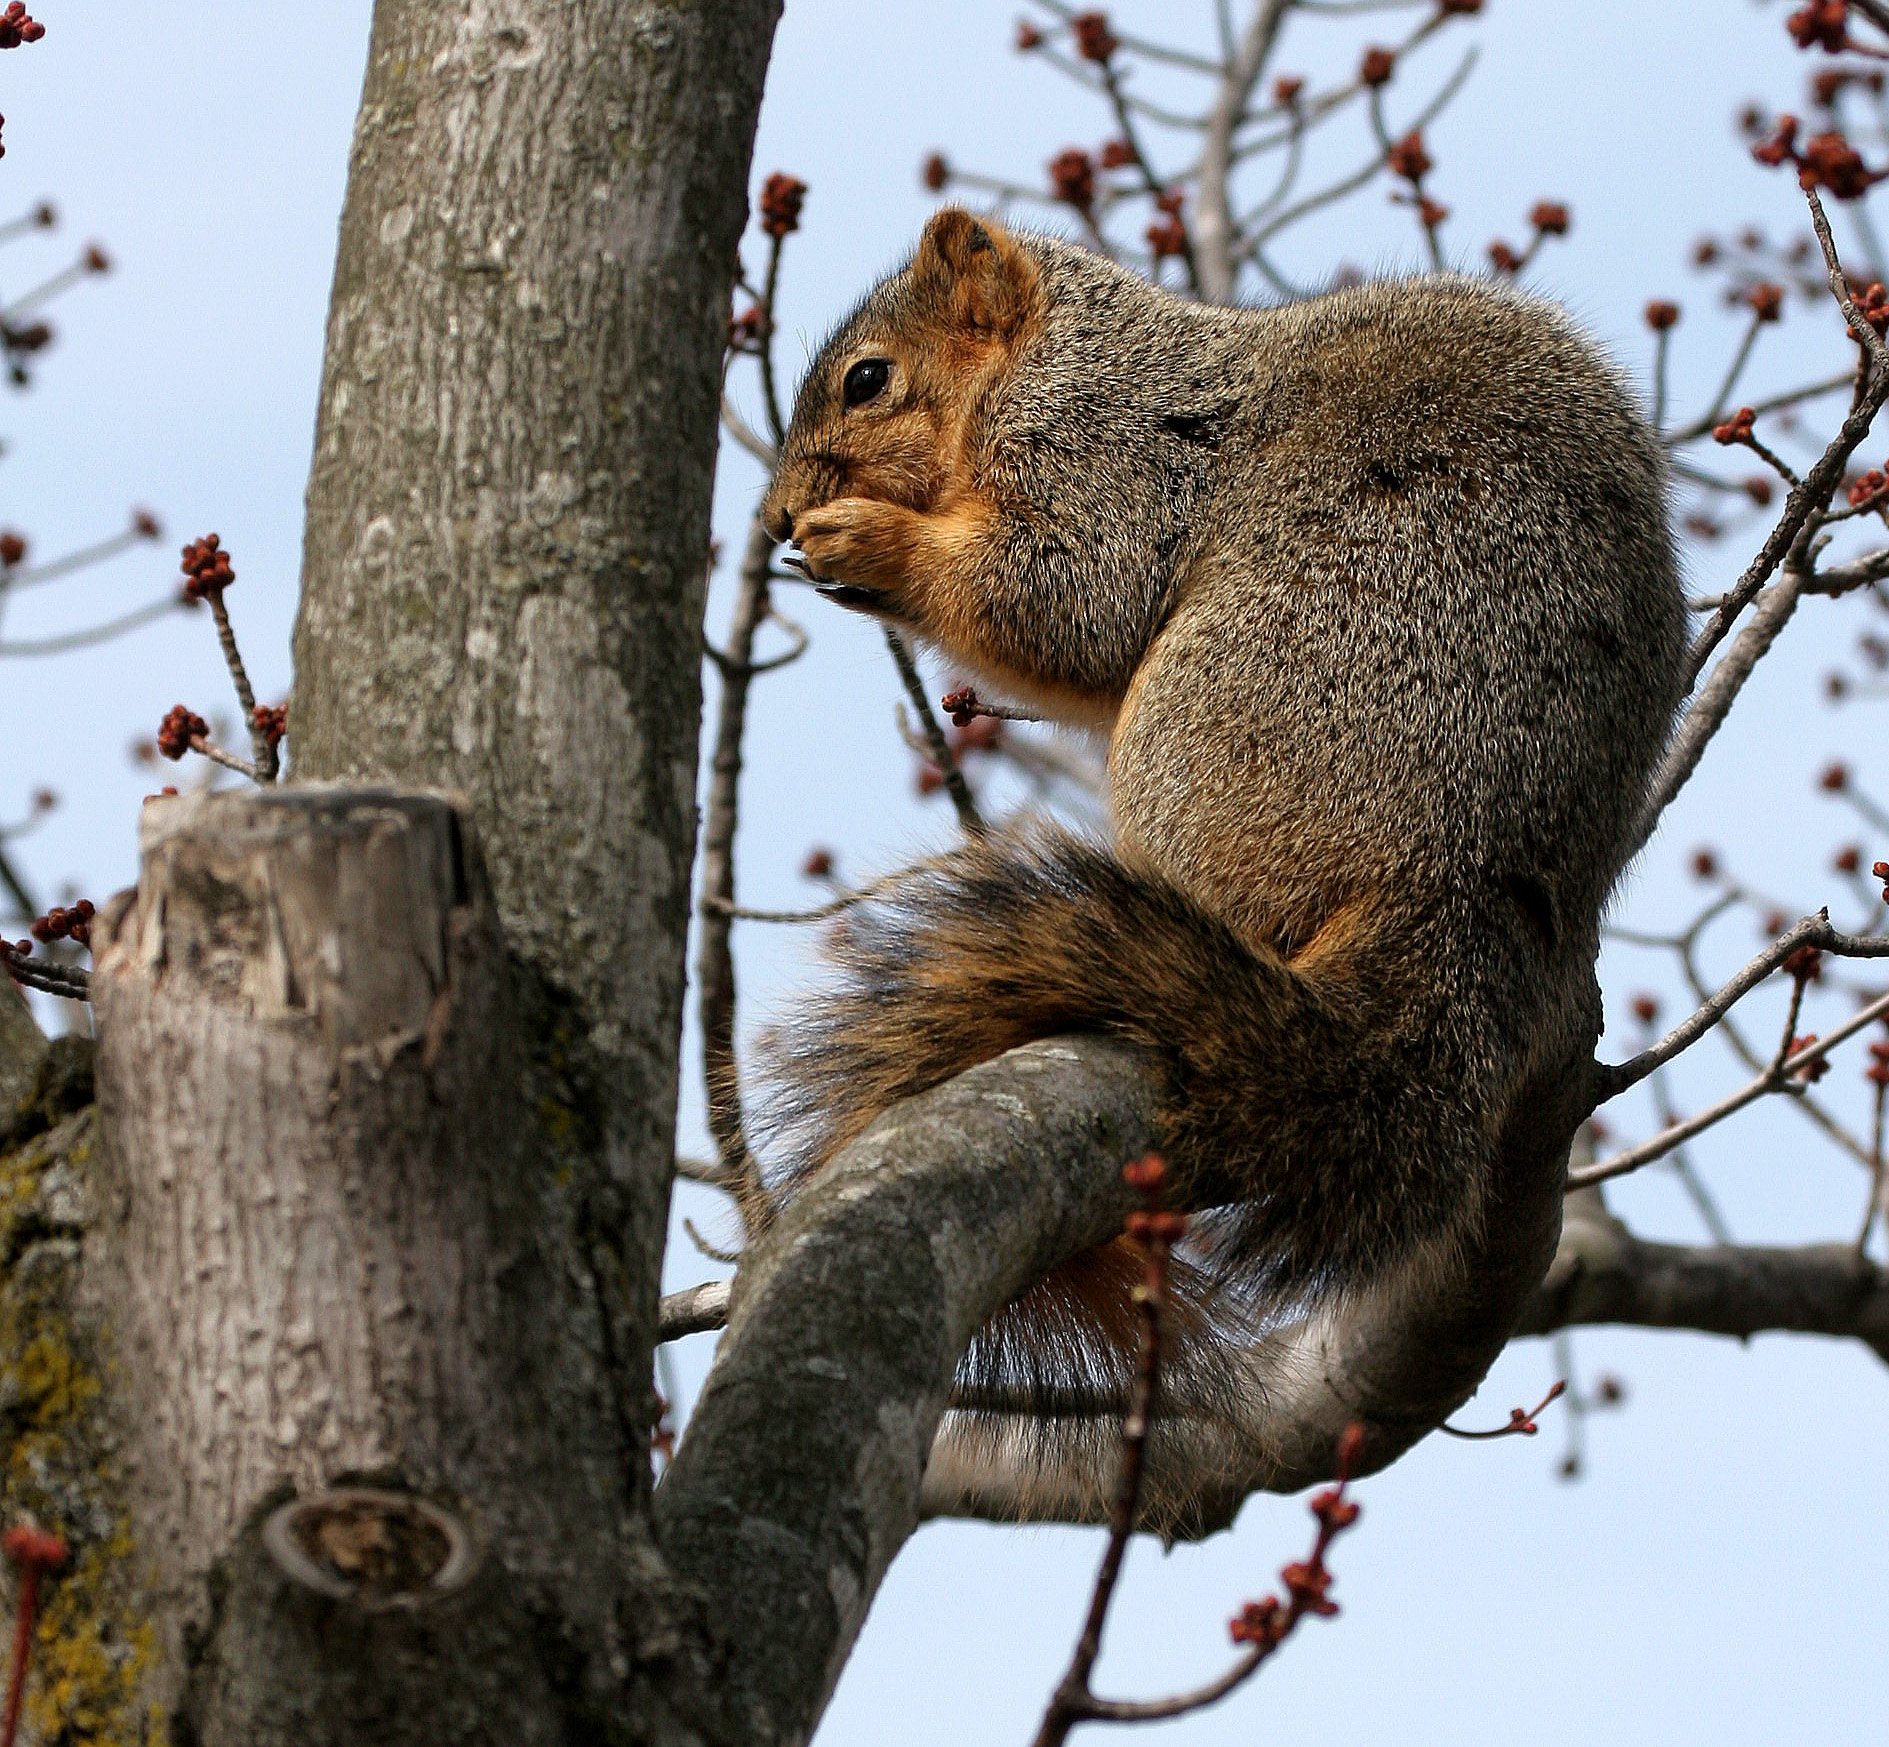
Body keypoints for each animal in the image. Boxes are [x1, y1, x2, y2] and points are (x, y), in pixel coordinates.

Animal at [755, 208, 1684, 1439]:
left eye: (867, 381)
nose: (773, 516)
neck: (1055, 355)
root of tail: (1459, 871)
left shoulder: (1098, 451)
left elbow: (1068, 600)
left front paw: (869, 544)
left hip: (1201, 727)